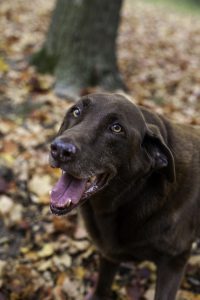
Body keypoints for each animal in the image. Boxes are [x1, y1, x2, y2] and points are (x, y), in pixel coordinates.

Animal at [48, 93, 200, 300]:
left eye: (116, 128)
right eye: (76, 111)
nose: (60, 149)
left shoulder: (174, 261)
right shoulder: (109, 251)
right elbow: (103, 284)